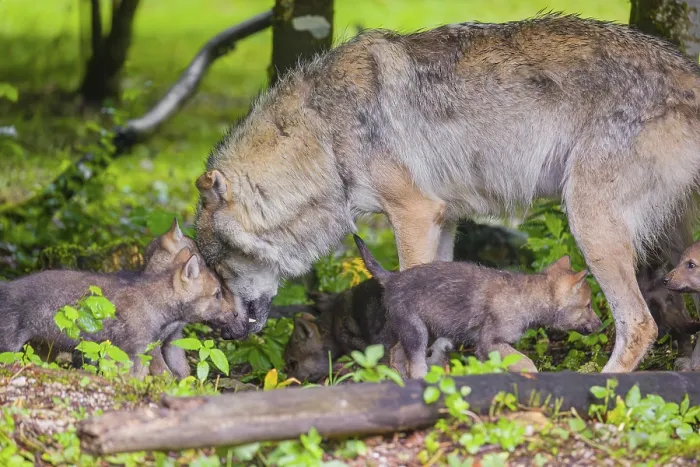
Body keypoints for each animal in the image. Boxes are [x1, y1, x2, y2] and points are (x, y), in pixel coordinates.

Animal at [0, 247, 247, 378]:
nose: (237, 315)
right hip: (9, 349)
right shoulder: (136, 351)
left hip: (41, 350)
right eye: (217, 294)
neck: (155, 304)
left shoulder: (138, 350)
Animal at [353, 235, 602, 378]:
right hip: (417, 334)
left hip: (427, 331)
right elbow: (527, 363)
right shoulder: (490, 342)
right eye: (588, 306)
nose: (601, 324)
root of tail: (392, 279)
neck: (527, 298)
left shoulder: (488, 349)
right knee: (415, 366)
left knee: (397, 356)